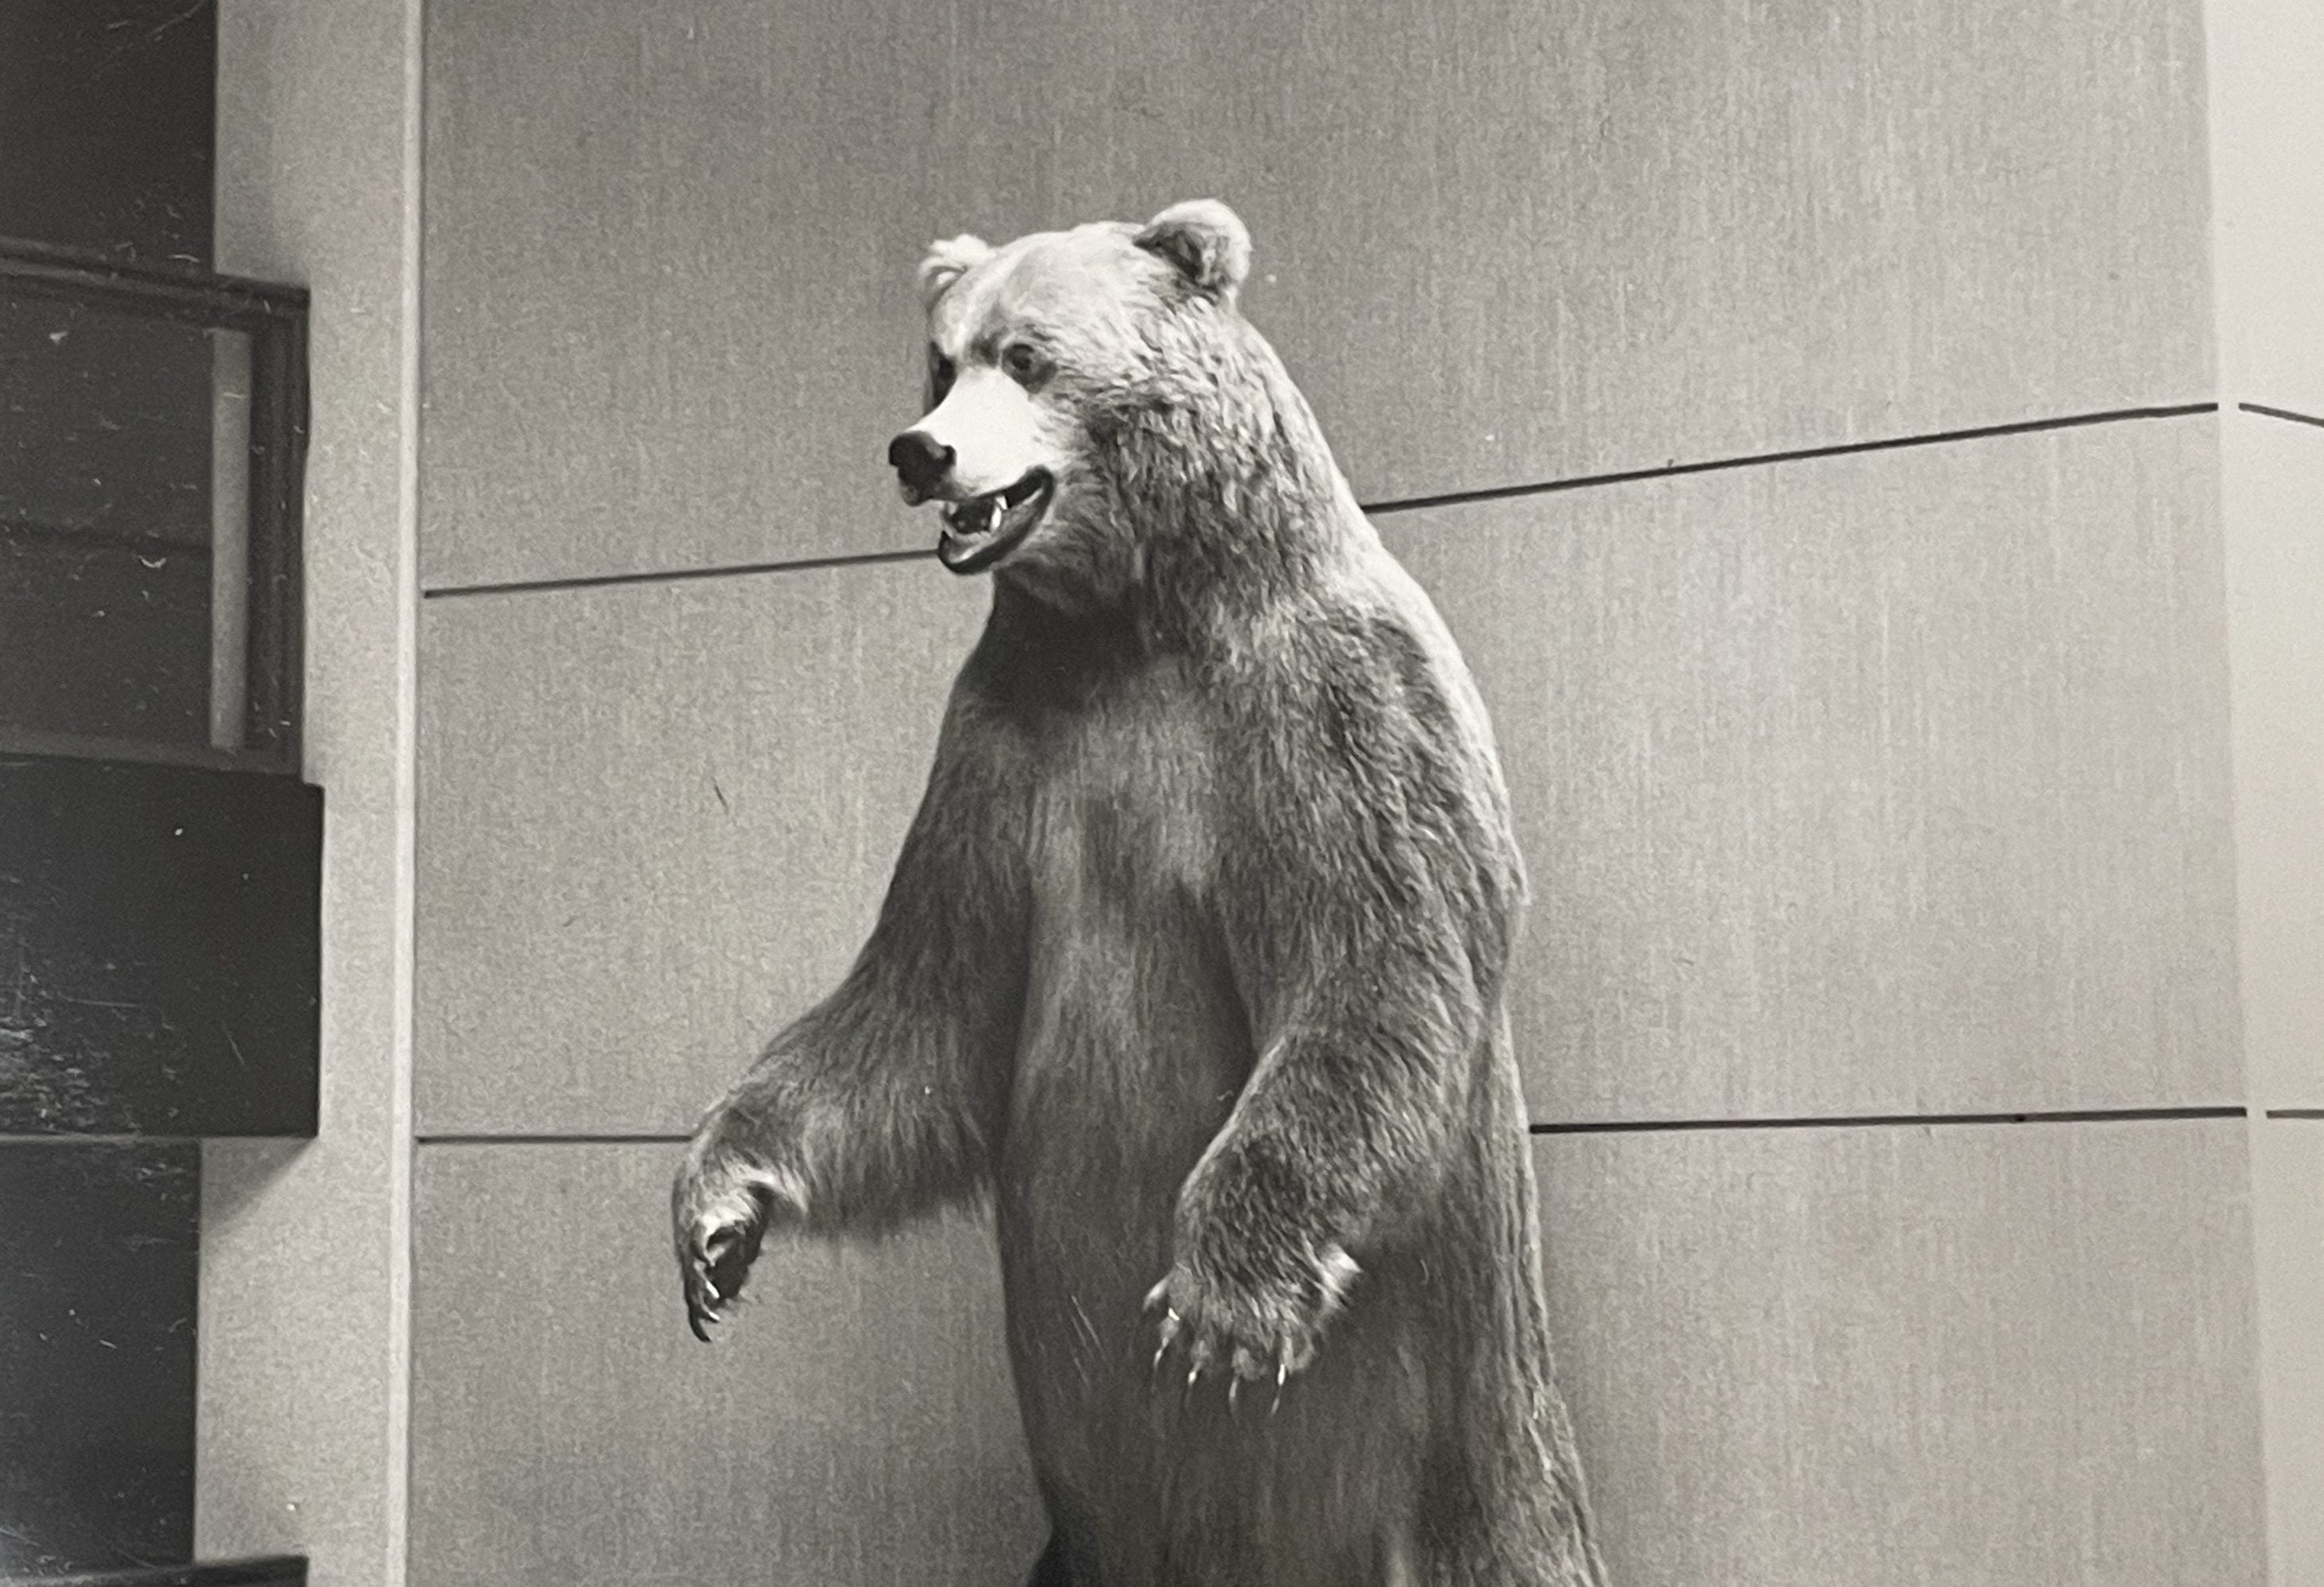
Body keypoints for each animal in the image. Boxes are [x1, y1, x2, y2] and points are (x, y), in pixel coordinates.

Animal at [671, 199, 1606, 1587]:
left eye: (1027, 356)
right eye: (939, 362)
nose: (919, 452)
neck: (1133, 625)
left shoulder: (1329, 709)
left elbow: (1374, 967)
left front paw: (1219, 1306)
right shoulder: (1007, 752)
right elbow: (922, 1006)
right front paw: (716, 1214)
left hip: (1455, 1456)